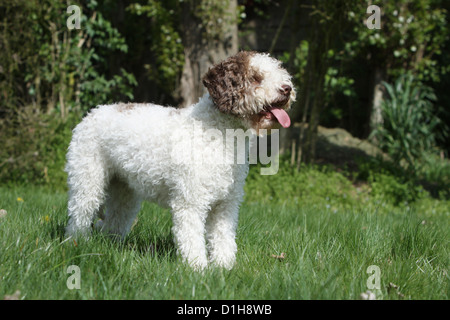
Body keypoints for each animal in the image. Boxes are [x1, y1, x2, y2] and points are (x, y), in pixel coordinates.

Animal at [64, 50, 296, 270]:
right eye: (256, 77)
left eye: (279, 70)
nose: (287, 89)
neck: (218, 132)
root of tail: (92, 113)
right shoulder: (190, 201)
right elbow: (191, 238)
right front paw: (197, 269)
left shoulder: (226, 204)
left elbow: (223, 238)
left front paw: (225, 267)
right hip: (88, 179)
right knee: (80, 214)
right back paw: (77, 243)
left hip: (124, 190)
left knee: (116, 219)